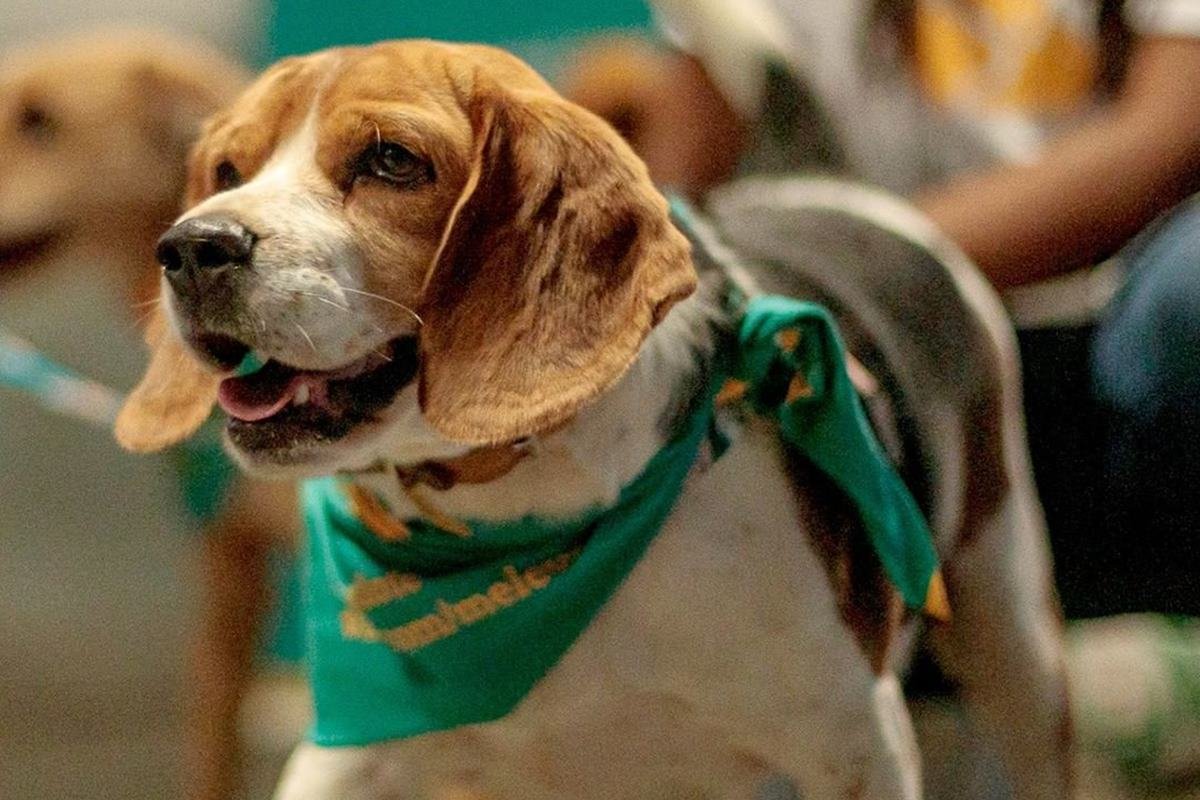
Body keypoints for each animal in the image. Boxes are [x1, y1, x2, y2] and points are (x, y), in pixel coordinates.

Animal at [117, 40, 1075, 796]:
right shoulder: (348, 758)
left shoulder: (857, 750)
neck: (512, 509)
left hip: (1017, 640)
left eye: (392, 162)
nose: (193, 248)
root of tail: (822, 182)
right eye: (227, 172)